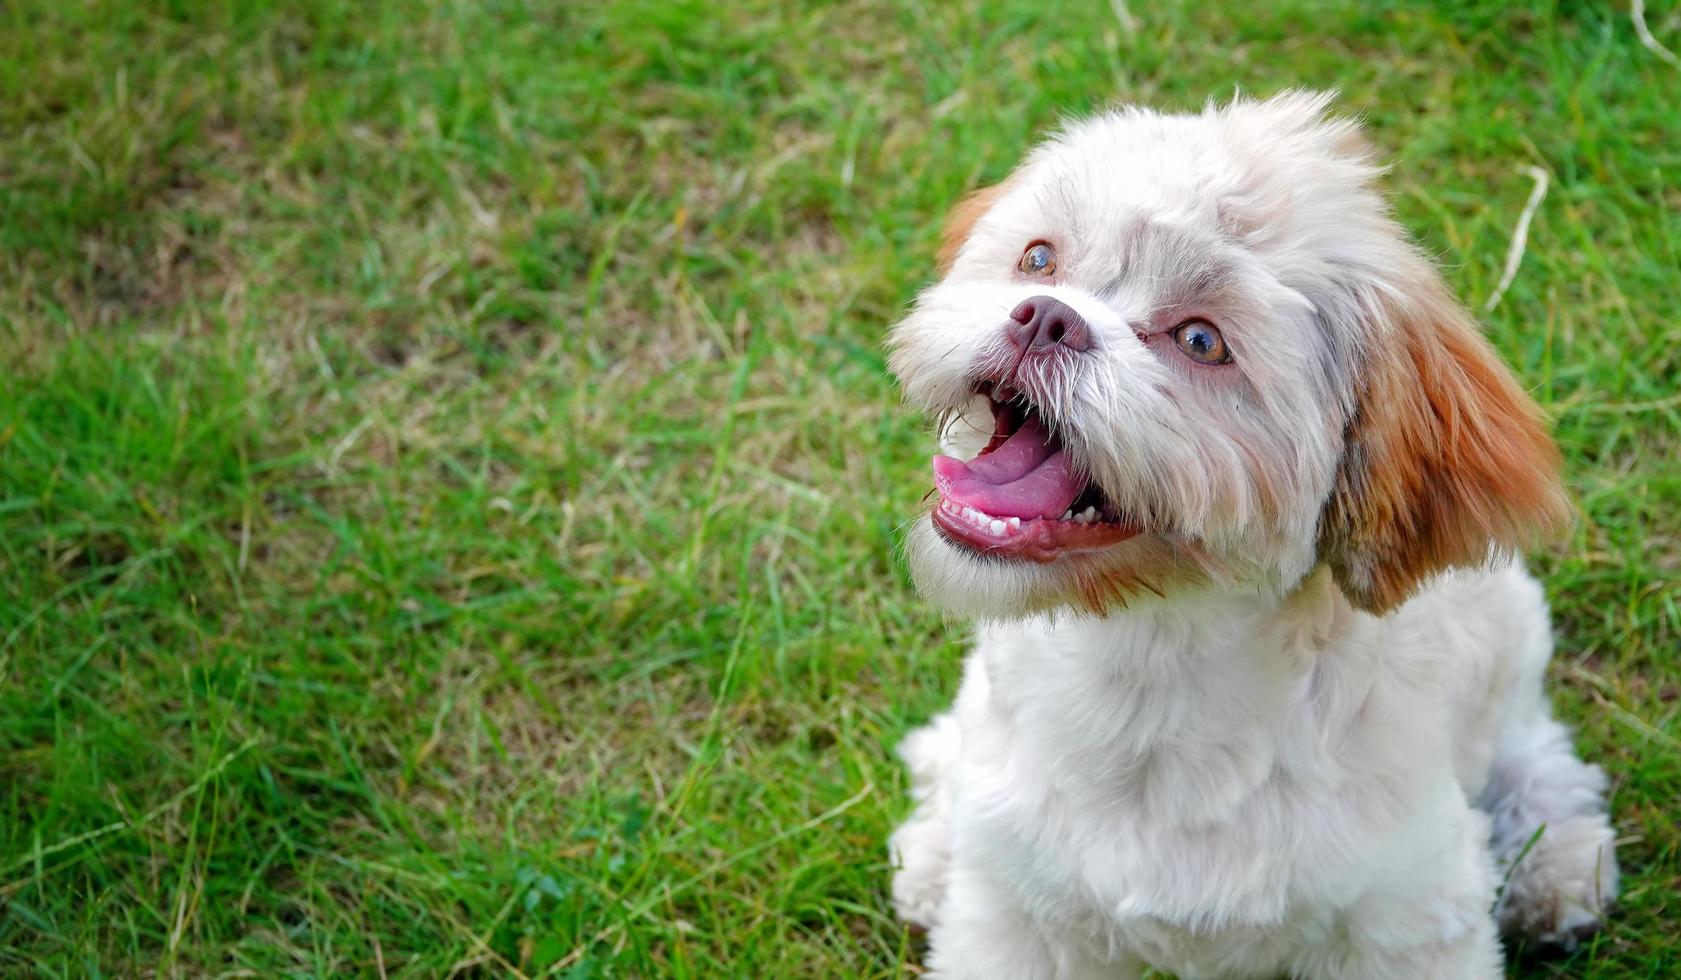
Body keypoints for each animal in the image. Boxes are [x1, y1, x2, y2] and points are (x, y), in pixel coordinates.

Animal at [887, 88, 1620, 974]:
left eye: (1201, 340)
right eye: (1037, 259)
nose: (1046, 319)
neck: (1151, 655)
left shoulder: (1405, 916)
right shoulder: (1019, 920)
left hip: (1510, 660)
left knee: (1536, 759)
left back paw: (1555, 863)